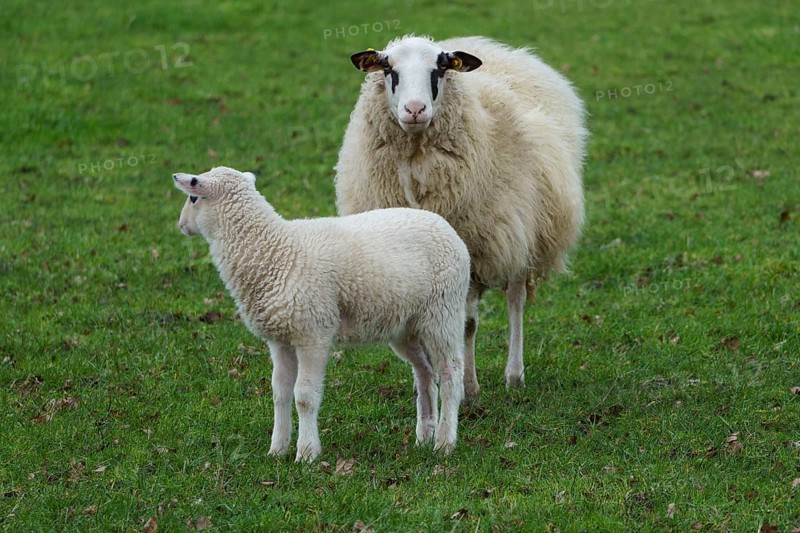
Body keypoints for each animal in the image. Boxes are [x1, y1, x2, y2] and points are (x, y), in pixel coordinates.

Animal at [172, 166, 470, 462]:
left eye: (193, 198)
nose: (181, 225)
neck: (275, 250)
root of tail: (445, 227)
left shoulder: (312, 333)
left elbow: (304, 396)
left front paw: (306, 453)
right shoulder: (280, 339)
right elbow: (280, 392)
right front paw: (277, 449)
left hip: (443, 312)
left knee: (451, 373)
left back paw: (445, 443)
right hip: (406, 326)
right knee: (425, 373)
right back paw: (425, 435)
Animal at [335, 35, 587, 401]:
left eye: (440, 68)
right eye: (387, 68)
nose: (415, 110)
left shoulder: (473, 251)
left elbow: (466, 326)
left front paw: (467, 389)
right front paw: (425, 384)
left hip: (521, 231)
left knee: (515, 301)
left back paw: (514, 375)